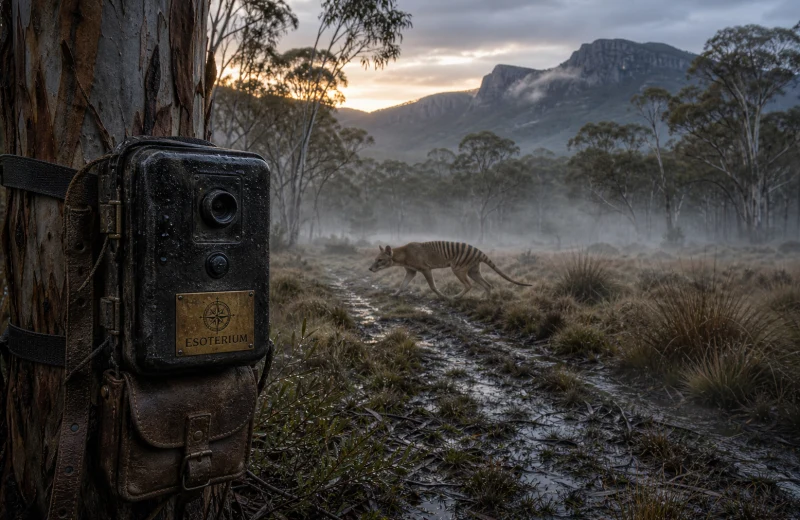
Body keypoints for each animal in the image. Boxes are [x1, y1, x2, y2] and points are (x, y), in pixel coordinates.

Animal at [368, 241, 531, 299]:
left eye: (380, 260)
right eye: (376, 259)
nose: (370, 268)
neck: (403, 254)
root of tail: (479, 252)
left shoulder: (425, 269)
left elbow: (432, 286)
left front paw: (442, 296)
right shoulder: (411, 271)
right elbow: (403, 285)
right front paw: (395, 294)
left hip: (458, 268)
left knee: (469, 285)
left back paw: (455, 297)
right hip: (473, 271)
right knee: (488, 285)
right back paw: (485, 300)